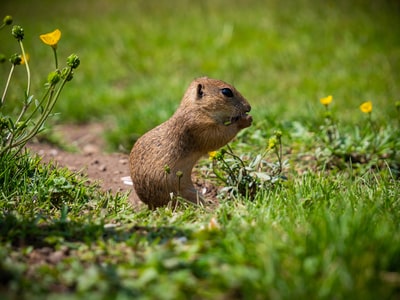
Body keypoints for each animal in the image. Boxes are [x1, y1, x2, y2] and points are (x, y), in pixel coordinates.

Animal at [130, 77, 252, 209]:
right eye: (226, 92)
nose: (249, 107)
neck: (197, 109)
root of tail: (151, 206)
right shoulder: (199, 127)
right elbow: (219, 136)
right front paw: (245, 120)